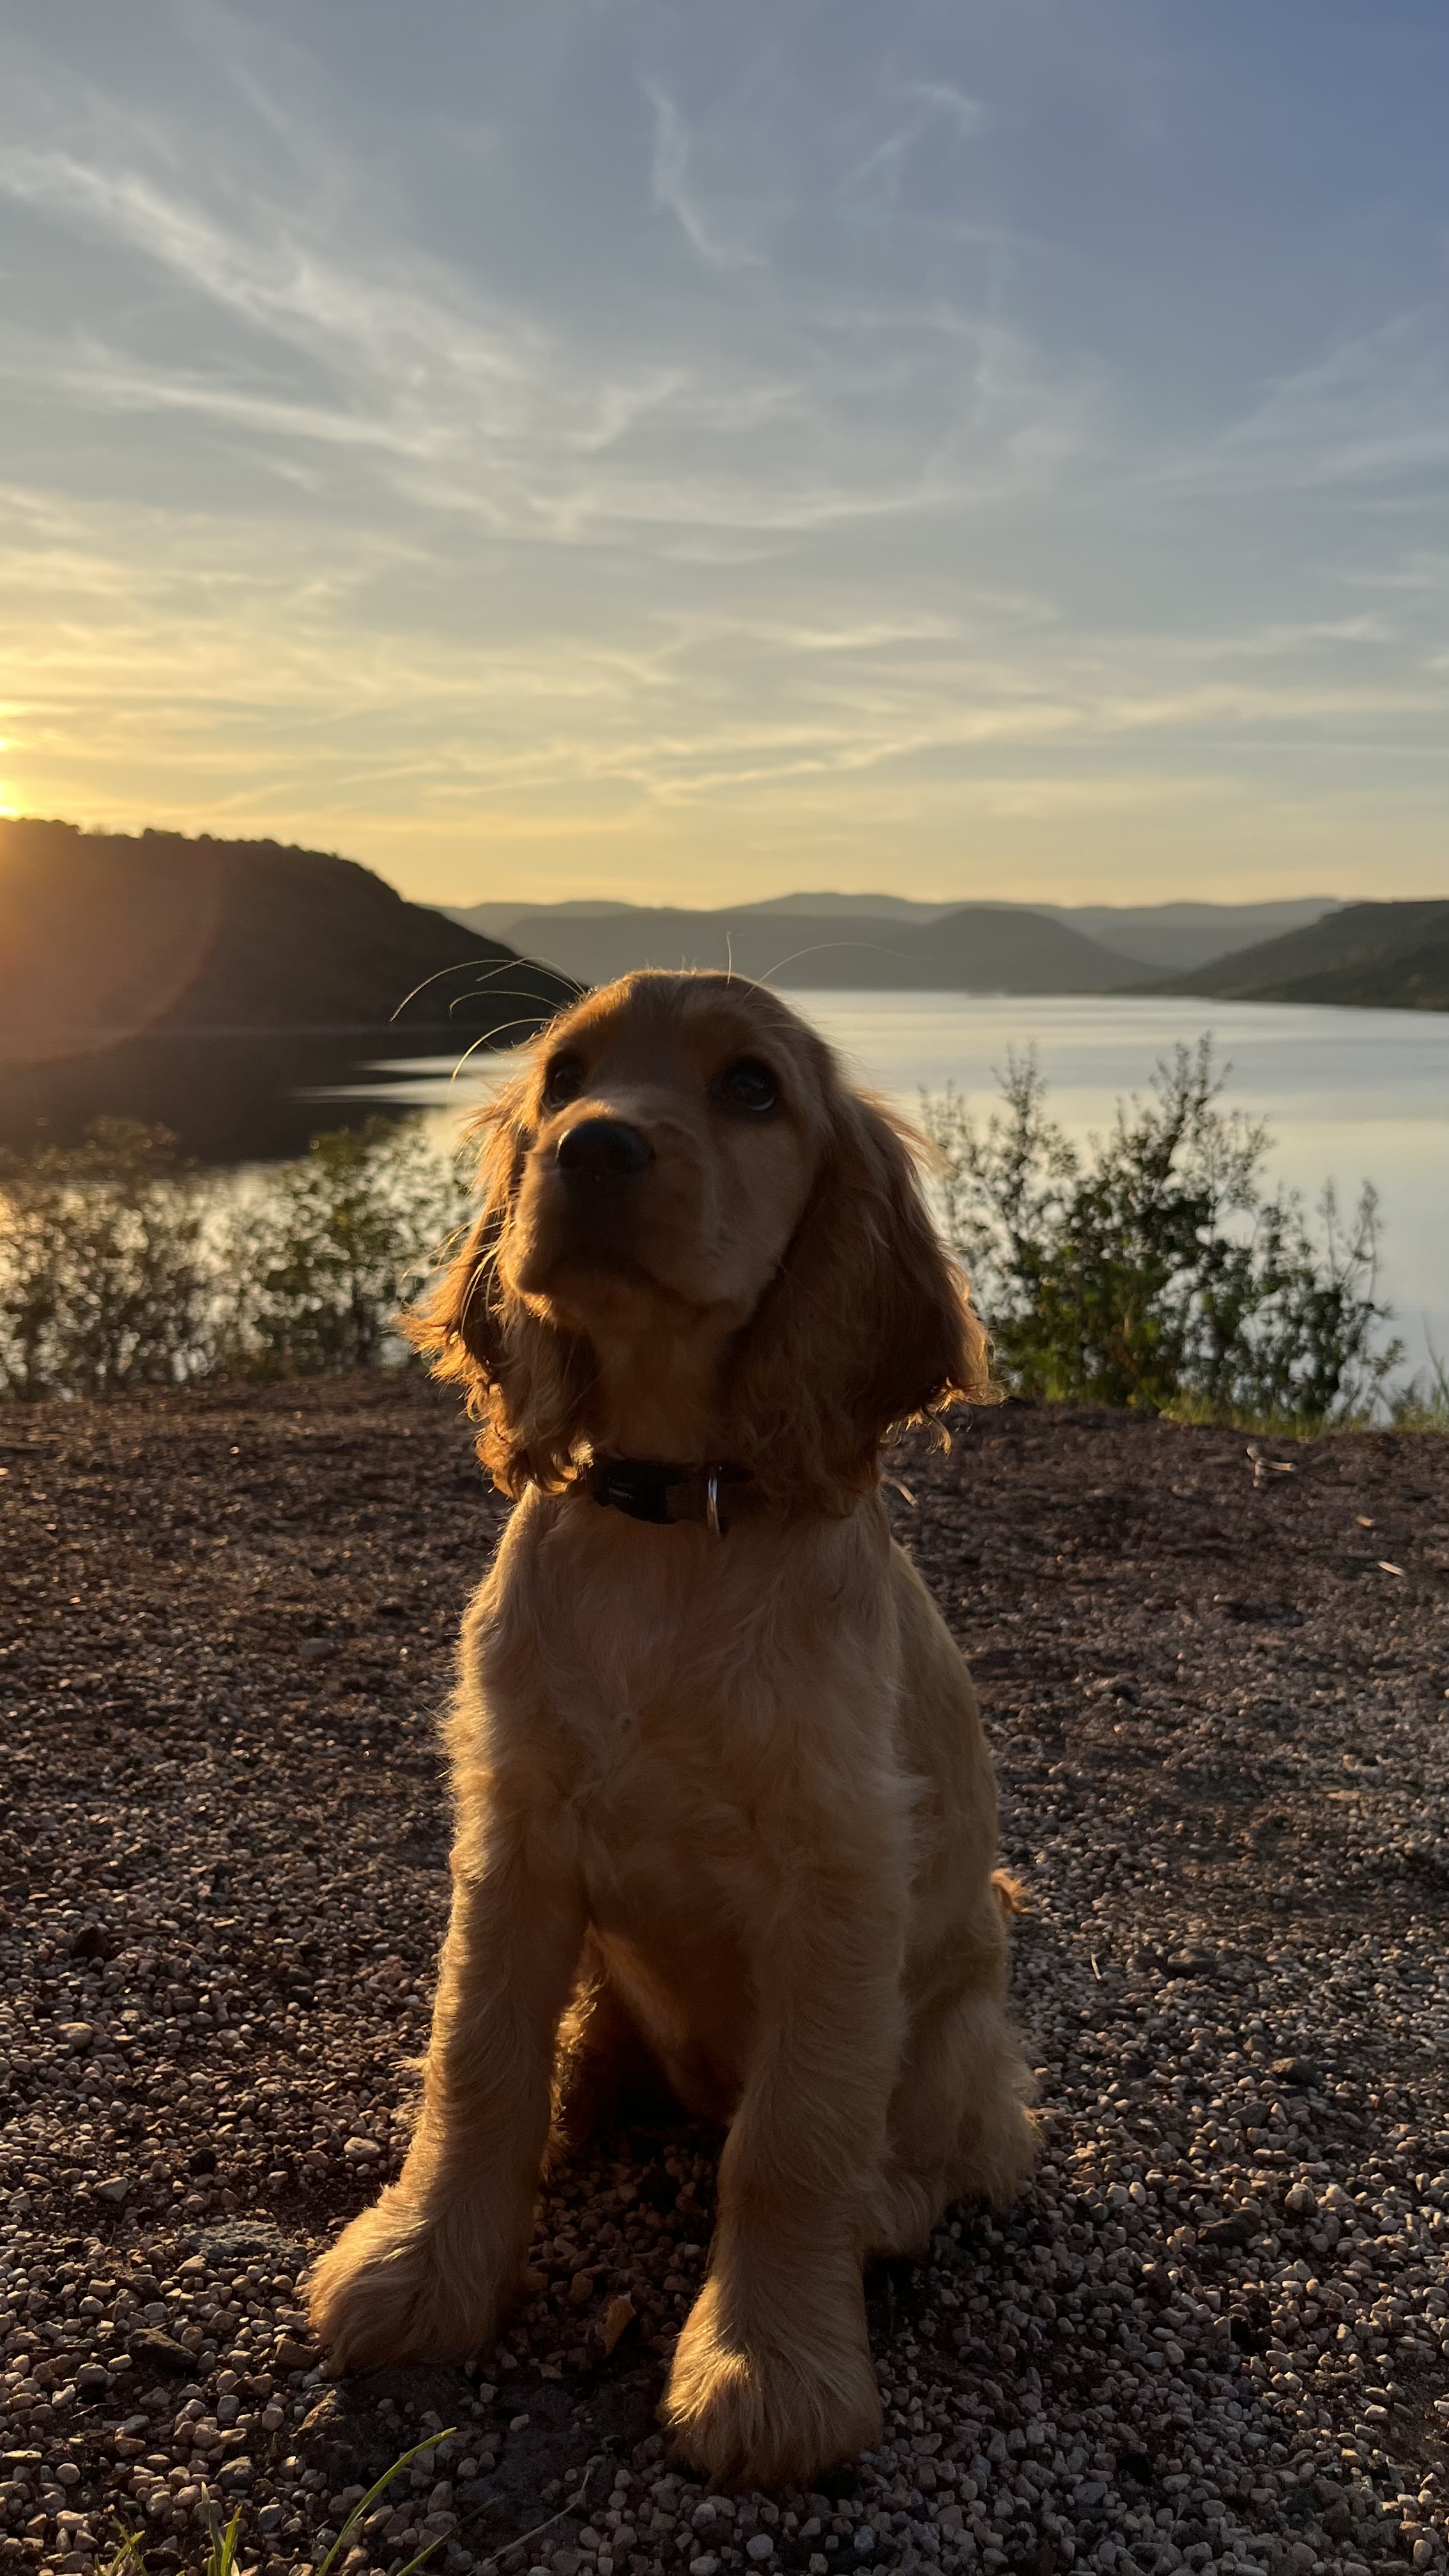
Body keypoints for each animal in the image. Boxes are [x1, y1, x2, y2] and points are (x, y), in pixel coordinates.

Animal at [308, 969, 1037, 2487]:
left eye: (752, 1087)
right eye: (565, 1076)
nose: (590, 1146)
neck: (666, 1522)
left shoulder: (841, 1875)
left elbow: (791, 2143)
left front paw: (769, 2371)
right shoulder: (515, 1834)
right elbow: (474, 2062)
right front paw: (421, 2271)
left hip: (960, 2029)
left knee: (958, 2141)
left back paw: (889, 2201)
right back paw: (584, 2095)